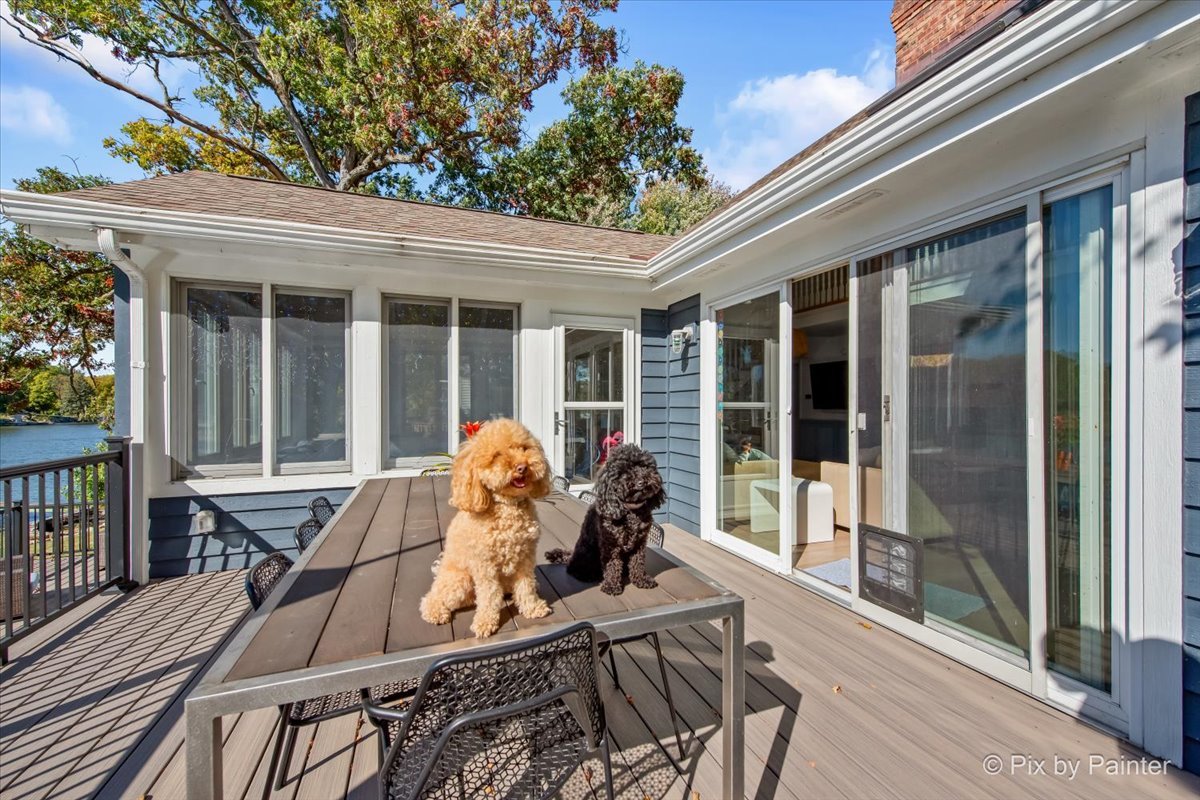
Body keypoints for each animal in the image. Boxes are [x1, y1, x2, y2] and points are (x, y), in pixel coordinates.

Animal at [419, 419, 553, 637]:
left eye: (524, 448)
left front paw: (532, 608)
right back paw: (435, 612)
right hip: (460, 580)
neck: (507, 506)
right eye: (497, 455)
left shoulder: (525, 557)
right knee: (433, 597)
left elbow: (526, 586)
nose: (522, 467)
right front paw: (485, 622)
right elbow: (489, 595)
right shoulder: (485, 565)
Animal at [546, 444, 666, 595]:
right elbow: (612, 565)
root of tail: (572, 555)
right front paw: (611, 585)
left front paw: (641, 580)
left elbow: (638, 562)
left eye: (644, 466)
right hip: (587, 552)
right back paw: (586, 574)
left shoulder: (640, 542)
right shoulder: (610, 543)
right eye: (623, 472)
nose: (641, 482)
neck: (631, 511)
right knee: (572, 569)